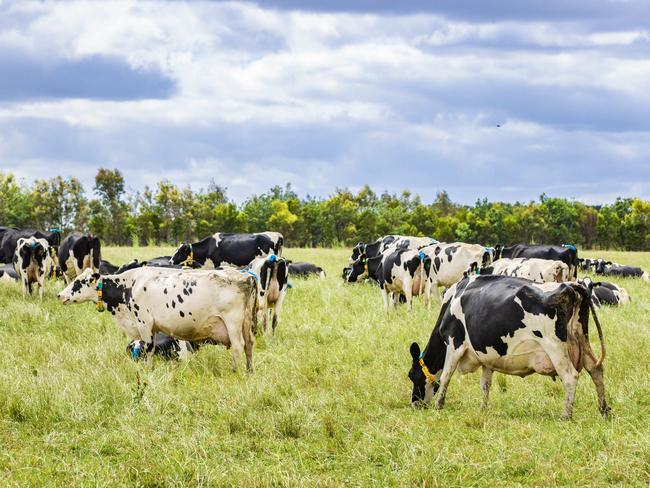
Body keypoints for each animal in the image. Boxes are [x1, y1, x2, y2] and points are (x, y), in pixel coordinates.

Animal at [57, 264, 256, 372]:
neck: (128, 286)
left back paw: (234, 371)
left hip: (232, 321)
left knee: (238, 346)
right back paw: (249, 372)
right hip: (246, 322)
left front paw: (147, 370)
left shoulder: (144, 323)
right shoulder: (151, 327)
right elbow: (149, 349)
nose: (59, 295)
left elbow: (147, 349)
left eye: (78, 282)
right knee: (249, 346)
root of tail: (244, 276)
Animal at [404, 274, 608, 420]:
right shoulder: (486, 357)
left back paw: (566, 415)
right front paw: (483, 409)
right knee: (596, 370)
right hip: (582, 341)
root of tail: (570, 286)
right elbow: (485, 385)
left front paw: (439, 406)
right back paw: (604, 410)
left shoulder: (454, 343)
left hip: (556, 348)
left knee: (570, 377)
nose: (414, 403)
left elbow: (446, 376)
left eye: (411, 375)